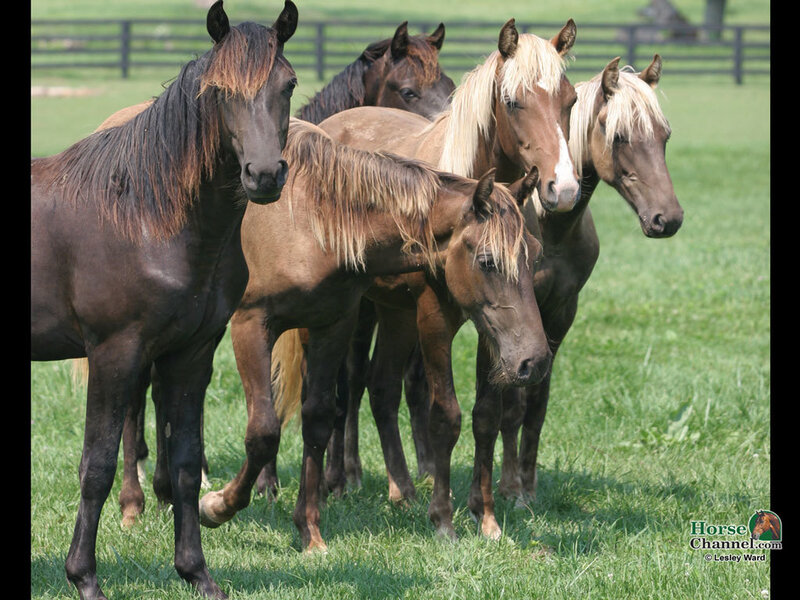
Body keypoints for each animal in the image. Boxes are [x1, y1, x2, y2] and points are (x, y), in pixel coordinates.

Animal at [30, 2, 298, 598]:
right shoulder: (114, 353)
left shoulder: (190, 355)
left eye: (289, 84)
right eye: (219, 91)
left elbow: (185, 463)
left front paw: (196, 572)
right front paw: (84, 578)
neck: (145, 215)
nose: (264, 176)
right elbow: (97, 465)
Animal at [194, 118, 551, 552]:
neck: (308, 218)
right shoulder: (252, 324)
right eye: (487, 261)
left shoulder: (336, 322)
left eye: (535, 255)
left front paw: (310, 531)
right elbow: (263, 430)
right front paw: (216, 507)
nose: (536, 360)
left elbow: (318, 416)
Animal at [274, 17, 579, 540]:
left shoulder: (494, 321)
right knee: (340, 387)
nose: (563, 188)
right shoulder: (434, 319)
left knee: (380, 386)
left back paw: (401, 487)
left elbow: (485, 415)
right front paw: (443, 519)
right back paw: (334, 484)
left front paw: (485, 514)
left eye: (572, 100)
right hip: (359, 314)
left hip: (394, 314)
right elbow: (445, 416)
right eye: (513, 101)